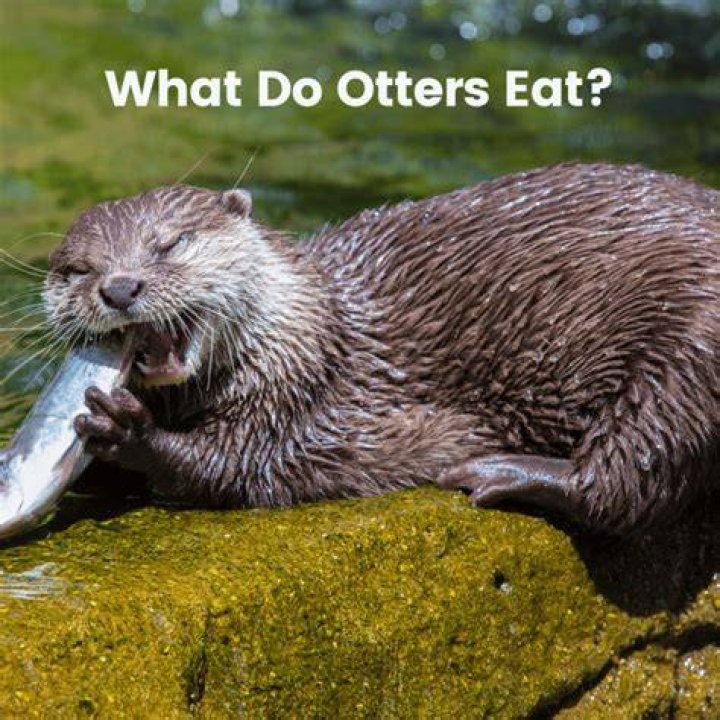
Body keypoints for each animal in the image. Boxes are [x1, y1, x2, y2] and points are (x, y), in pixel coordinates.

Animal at [43, 163, 719, 535]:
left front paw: (128, 430)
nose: (119, 286)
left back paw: (502, 472)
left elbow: (237, 467)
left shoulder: (305, 402)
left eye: (172, 242)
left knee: (636, 472)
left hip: (692, 347)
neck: (317, 331)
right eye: (77, 270)